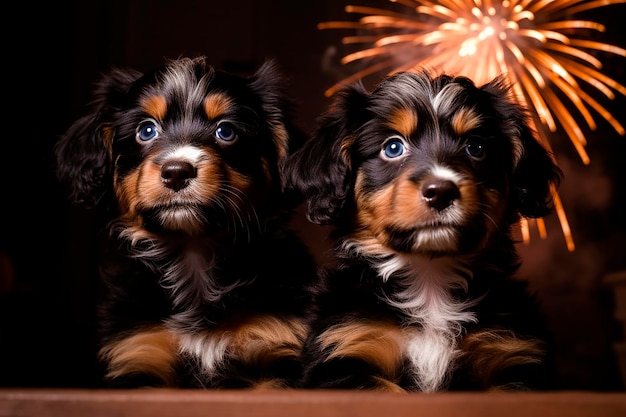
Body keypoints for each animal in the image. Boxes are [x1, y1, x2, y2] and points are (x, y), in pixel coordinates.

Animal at [55, 55, 314, 386]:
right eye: (146, 130)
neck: (194, 253)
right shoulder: (140, 352)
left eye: (225, 131)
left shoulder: (273, 350)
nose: (177, 171)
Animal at [286, 70, 560, 392]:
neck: (430, 282)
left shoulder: (512, 357)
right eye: (393, 147)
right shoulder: (347, 349)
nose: (441, 191)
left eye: (476, 148)